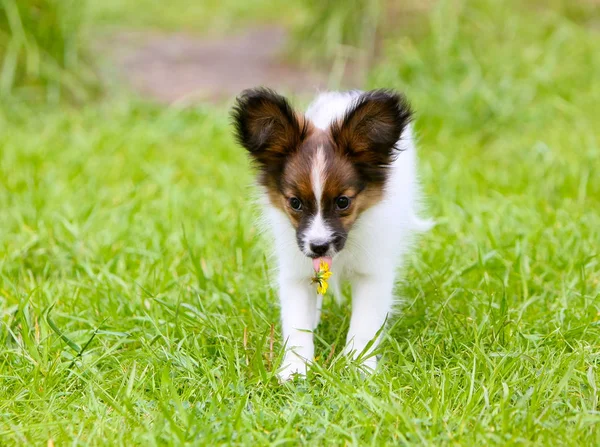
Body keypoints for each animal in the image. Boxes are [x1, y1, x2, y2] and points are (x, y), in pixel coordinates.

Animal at [231, 88, 432, 382]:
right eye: (295, 203)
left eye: (343, 202)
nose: (319, 246)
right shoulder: (297, 270)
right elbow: (297, 325)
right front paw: (295, 369)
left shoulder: (372, 273)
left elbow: (364, 325)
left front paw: (358, 366)